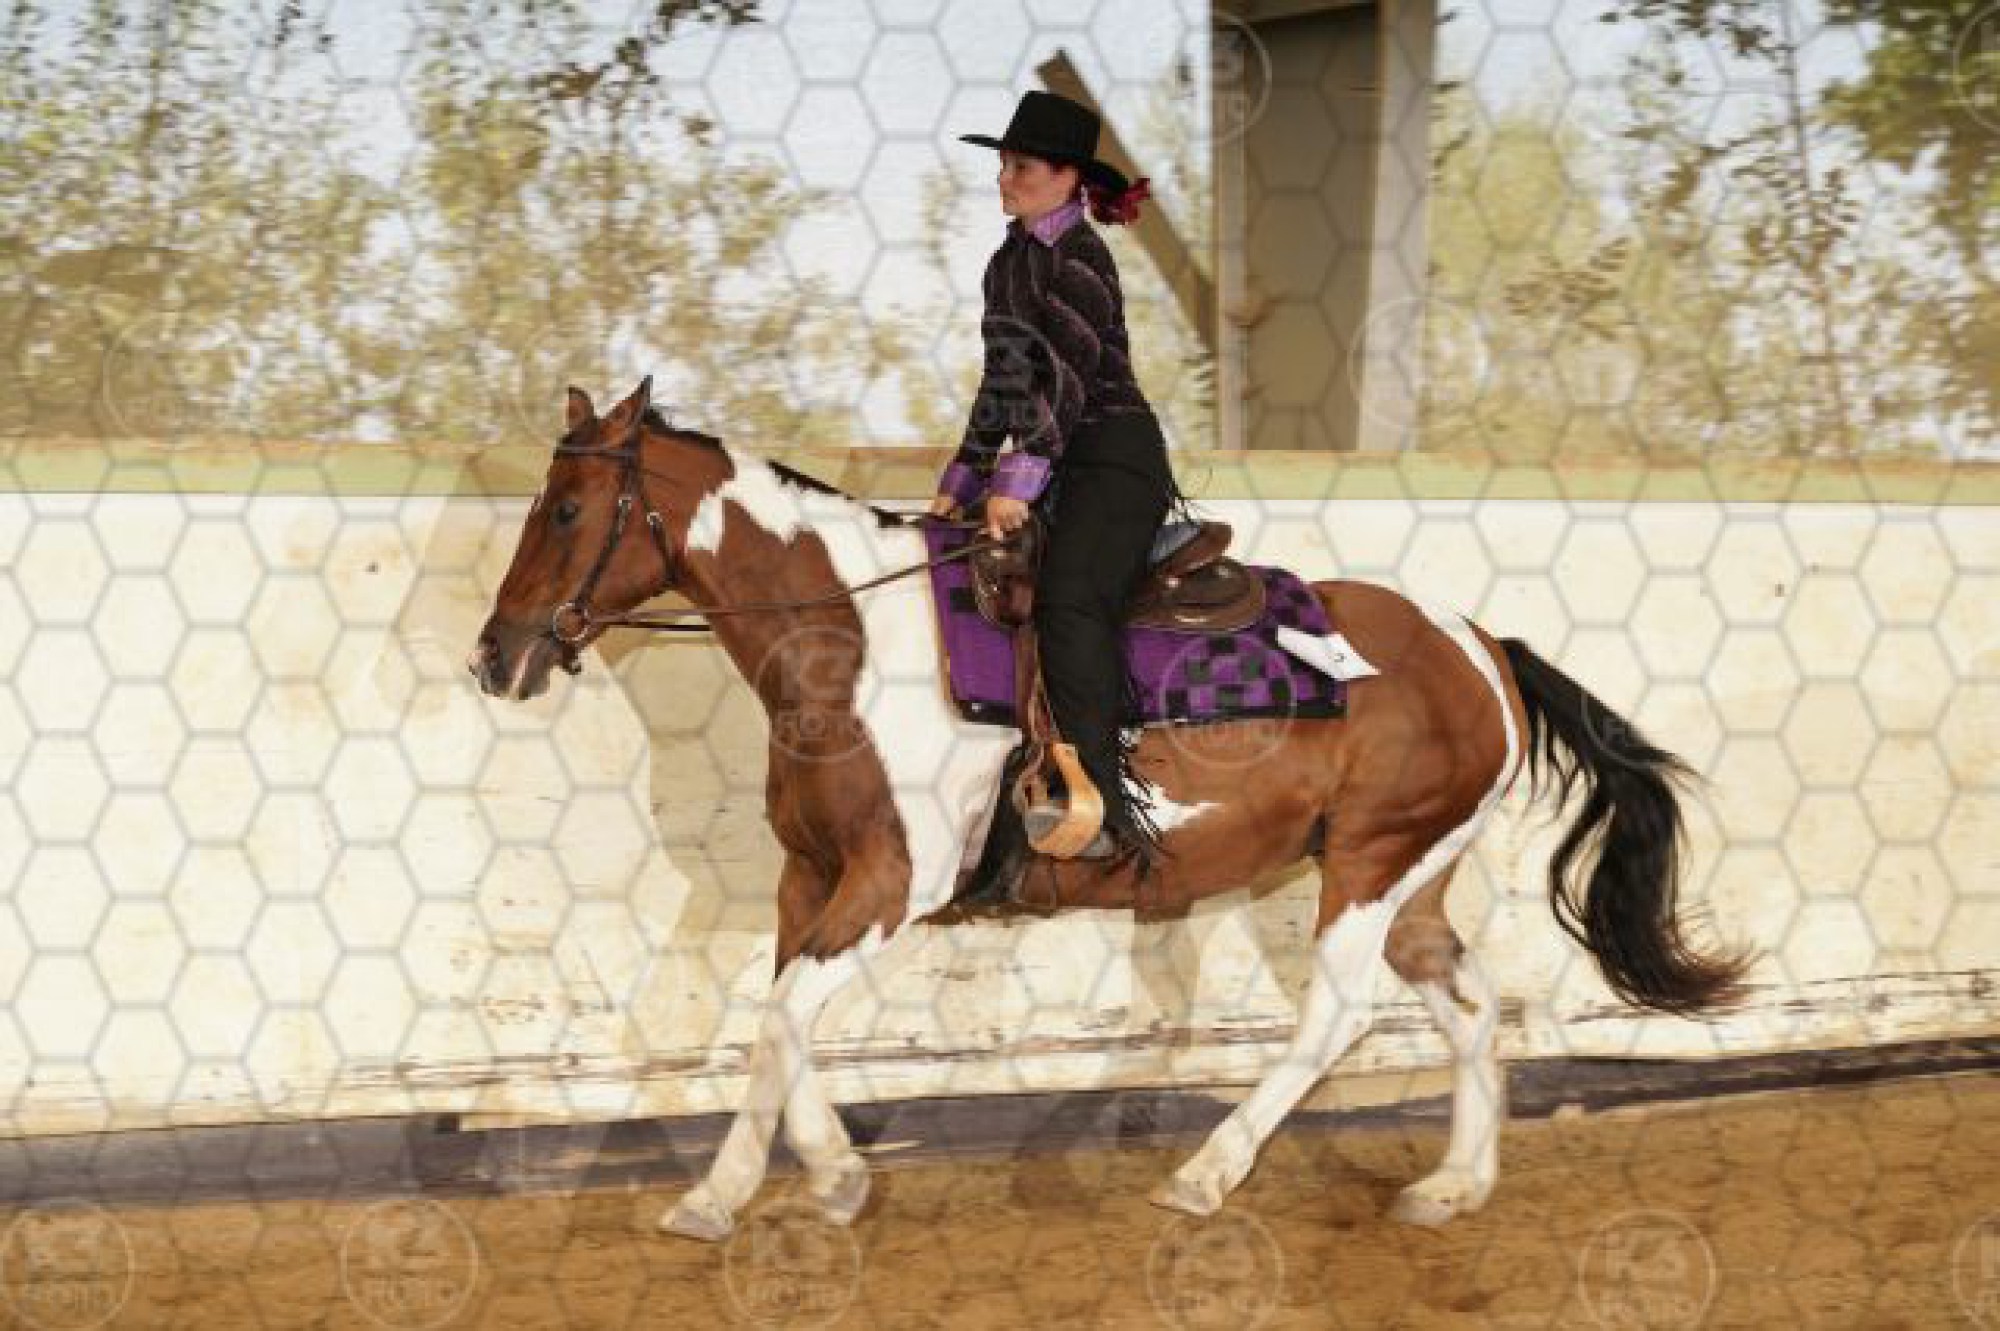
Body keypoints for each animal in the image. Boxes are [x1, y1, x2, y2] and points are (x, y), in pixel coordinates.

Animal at [466, 377, 1754, 1241]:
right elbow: (780, 1023)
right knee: (1473, 1003)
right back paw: (1452, 1183)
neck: (847, 639)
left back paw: (1205, 1171)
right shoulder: (808, 880)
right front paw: (772, 1181)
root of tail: (1481, 644)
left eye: (568, 509)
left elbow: (783, 1020)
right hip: (1412, 875)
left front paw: (777, 1182)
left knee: (1335, 1016)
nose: (493, 654)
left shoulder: (891, 884)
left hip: (1368, 866)